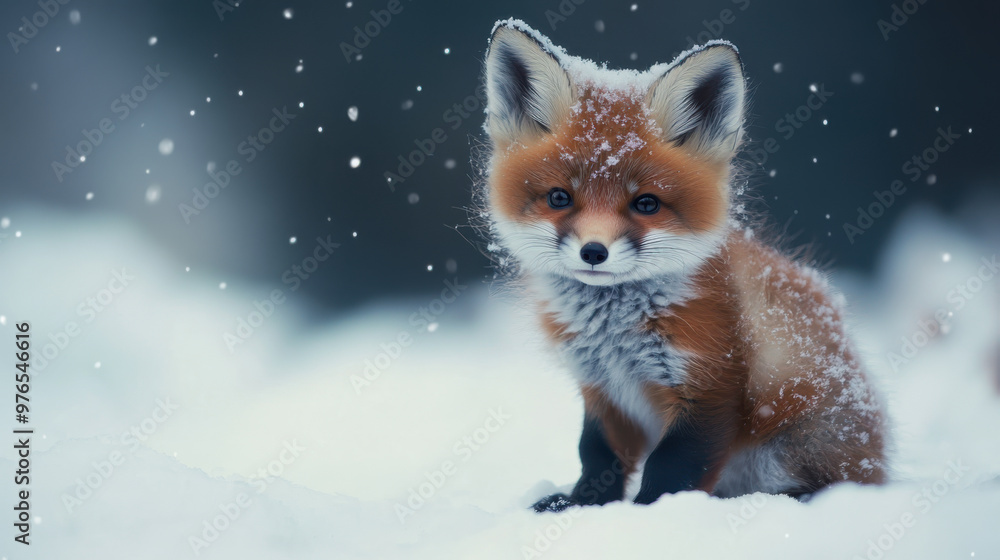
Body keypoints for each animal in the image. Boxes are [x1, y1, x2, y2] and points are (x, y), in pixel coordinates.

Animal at [477, 19, 887, 511]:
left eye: (646, 203)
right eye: (560, 197)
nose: (593, 251)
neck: (614, 336)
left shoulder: (710, 384)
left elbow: (673, 465)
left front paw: (653, 513)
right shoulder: (602, 390)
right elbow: (596, 455)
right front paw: (580, 505)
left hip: (790, 450)